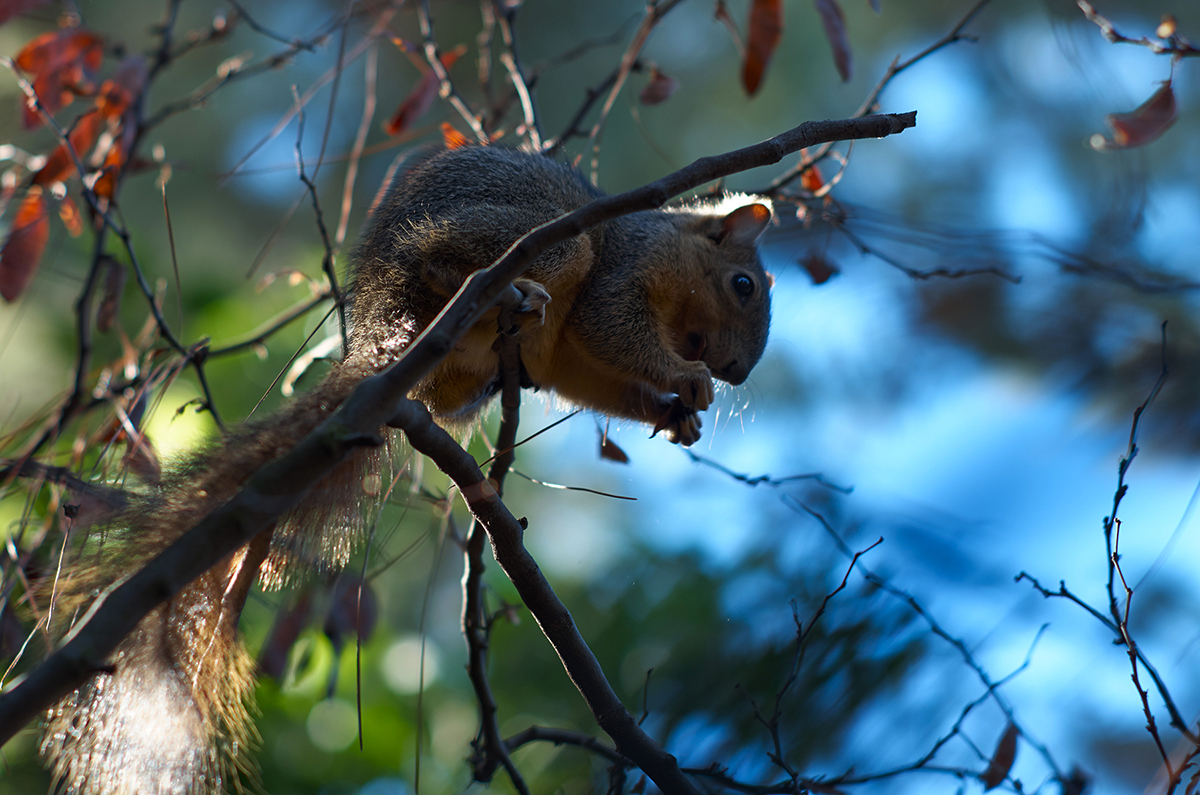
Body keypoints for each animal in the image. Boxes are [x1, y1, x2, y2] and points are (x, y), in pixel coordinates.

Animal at [37, 144, 772, 795]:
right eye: (744, 284)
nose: (737, 373)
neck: (667, 248)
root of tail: (378, 318)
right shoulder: (620, 265)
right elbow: (614, 328)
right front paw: (685, 378)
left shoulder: (570, 357)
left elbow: (591, 372)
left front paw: (674, 414)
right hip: (536, 242)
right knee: (451, 259)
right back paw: (497, 286)